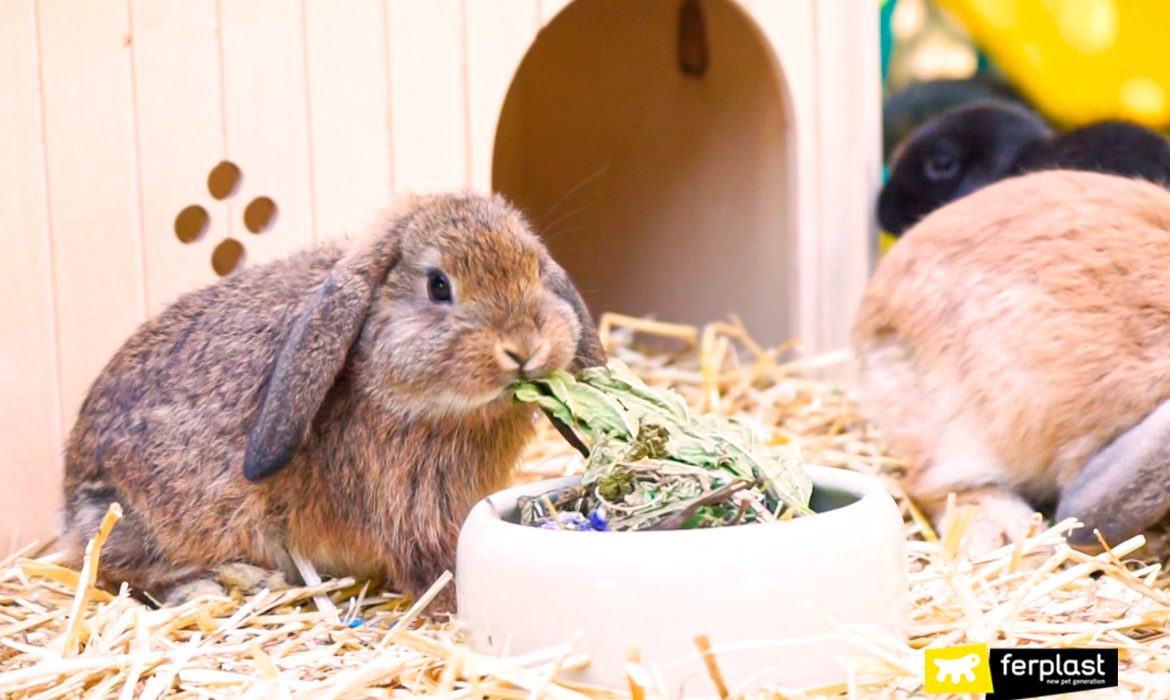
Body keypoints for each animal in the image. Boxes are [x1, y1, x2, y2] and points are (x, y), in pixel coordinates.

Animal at [60, 194, 608, 613]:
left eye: (535, 269)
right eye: (438, 284)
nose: (524, 347)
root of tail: (72, 502)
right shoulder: (411, 508)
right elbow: (434, 563)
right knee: (122, 570)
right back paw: (229, 583)